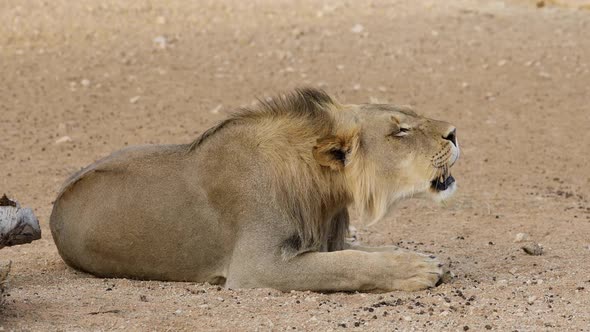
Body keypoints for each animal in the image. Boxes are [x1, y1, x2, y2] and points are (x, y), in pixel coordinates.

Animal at [48, 87, 460, 290]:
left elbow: (360, 252)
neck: (324, 191)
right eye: (400, 131)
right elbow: (344, 265)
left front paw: (421, 258)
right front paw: (416, 269)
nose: (455, 132)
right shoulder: (256, 267)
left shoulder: (321, 240)